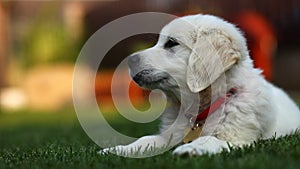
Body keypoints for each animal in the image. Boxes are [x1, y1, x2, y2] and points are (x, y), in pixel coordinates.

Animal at [99, 13, 300, 156]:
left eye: (171, 43)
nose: (129, 61)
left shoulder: (239, 139)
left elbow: (211, 139)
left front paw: (191, 149)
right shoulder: (171, 134)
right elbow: (146, 139)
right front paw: (117, 150)